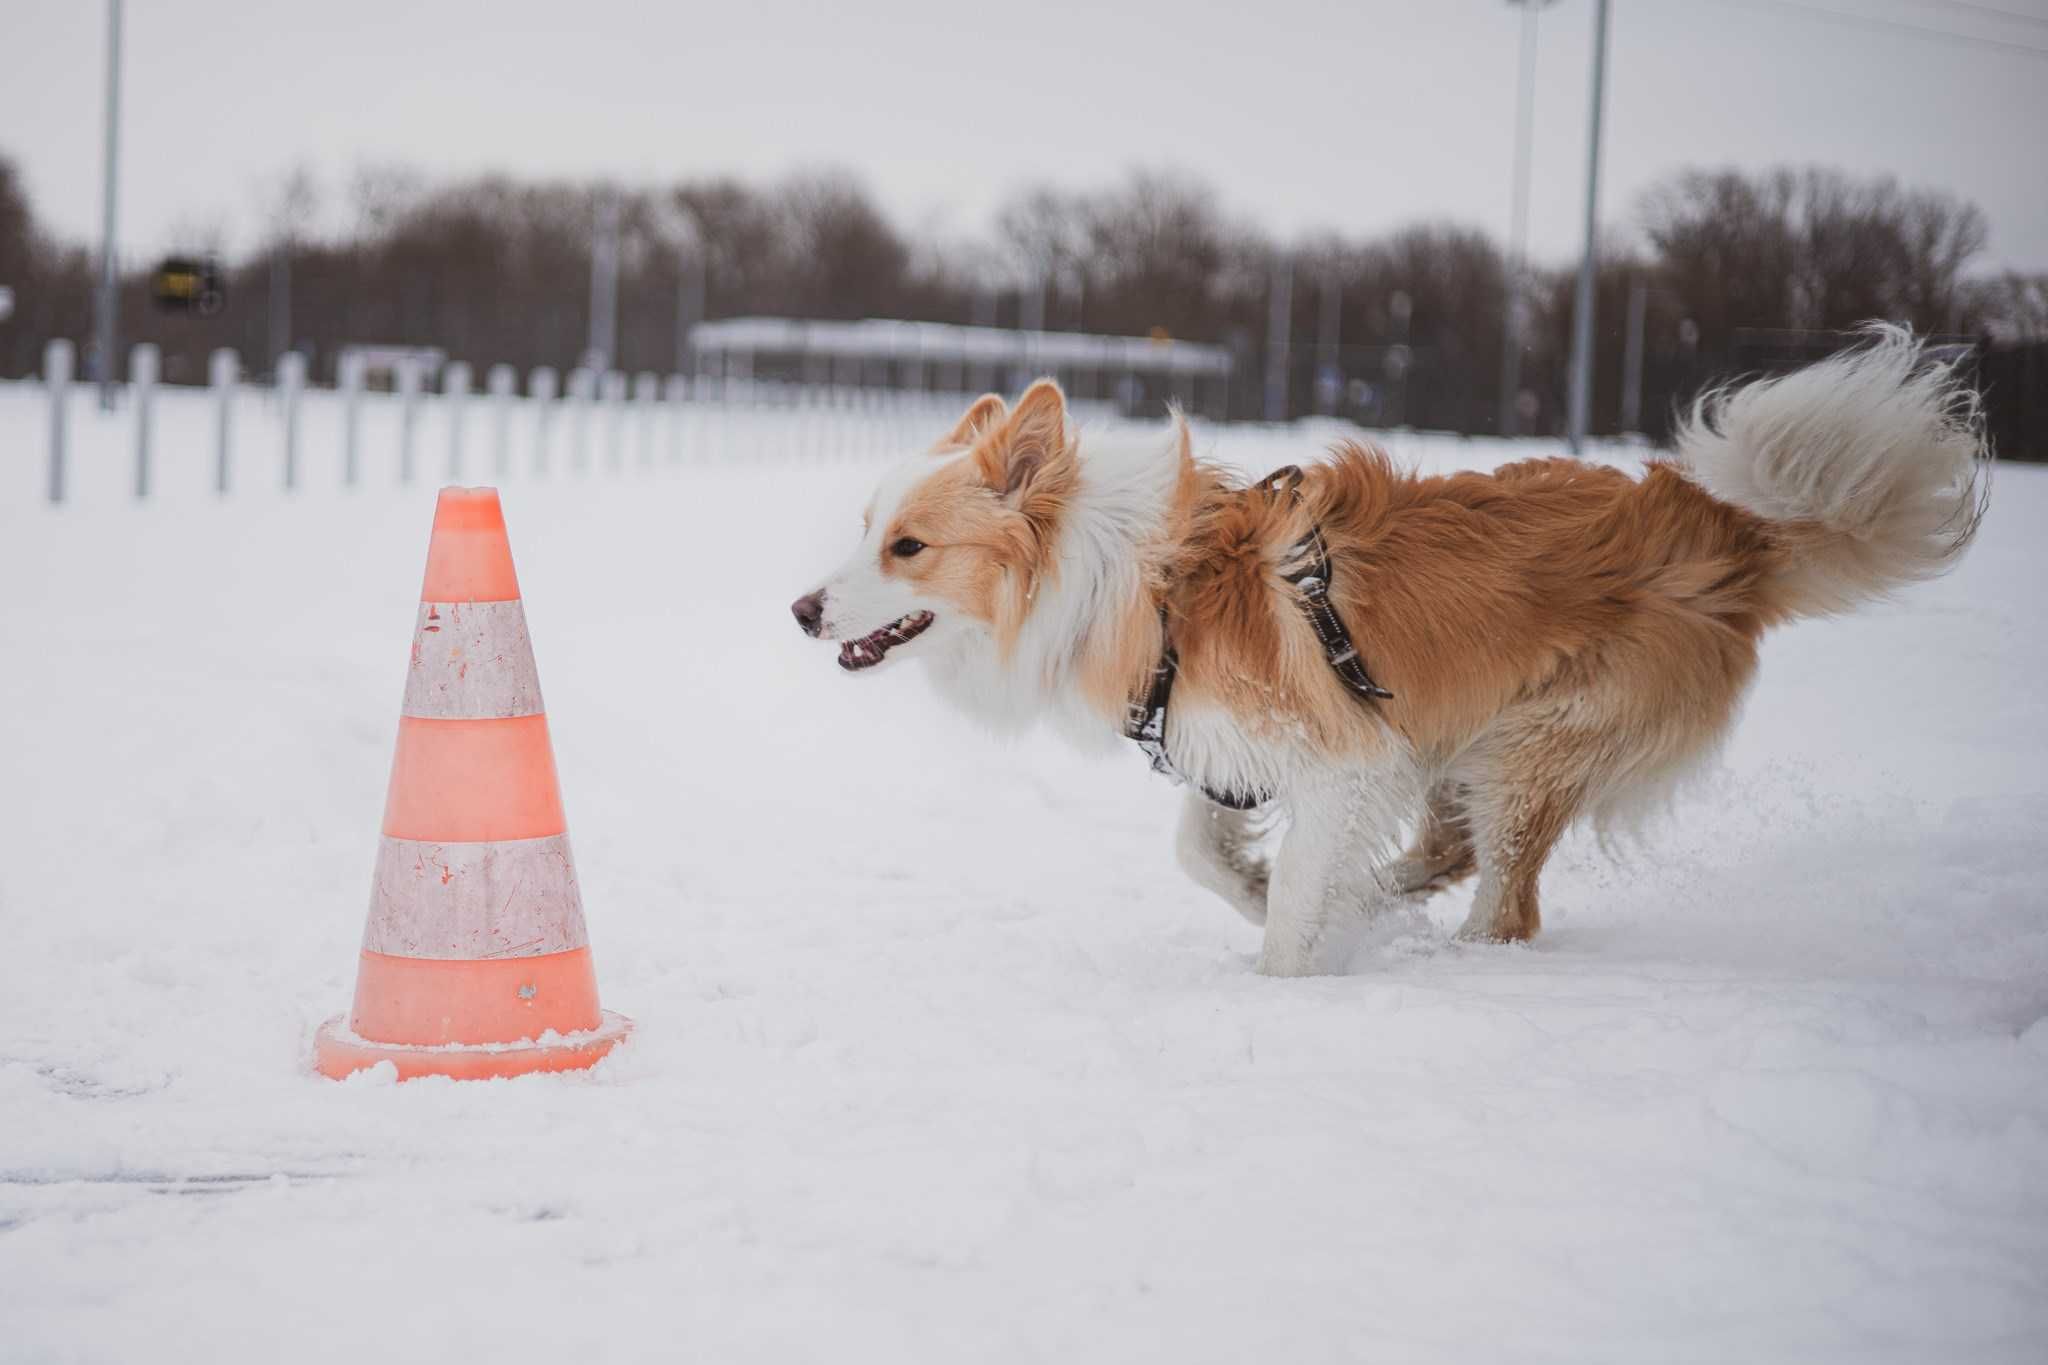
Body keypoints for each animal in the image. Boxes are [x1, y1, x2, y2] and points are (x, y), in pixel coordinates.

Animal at [786, 327, 1982, 978]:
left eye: (906, 546)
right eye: (865, 526)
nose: (799, 609)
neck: (1137, 580)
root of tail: (1726, 536)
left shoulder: (1343, 755)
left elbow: (1282, 905)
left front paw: (1289, 966)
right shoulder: (1242, 746)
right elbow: (1205, 854)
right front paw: (1290, 894)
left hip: (1531, 750)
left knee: (1506, 908)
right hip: (1465, 738)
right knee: (1446, 855)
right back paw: (1386, 905)